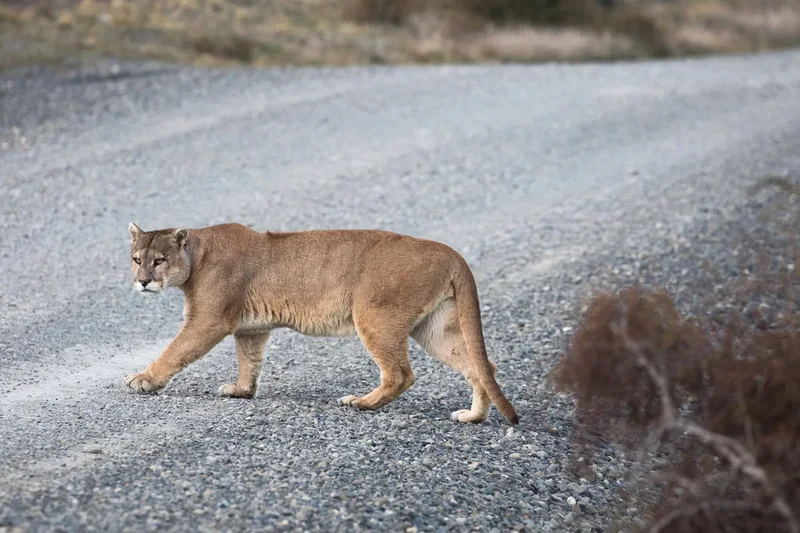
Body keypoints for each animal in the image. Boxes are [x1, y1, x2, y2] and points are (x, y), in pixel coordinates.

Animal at [124, 222, 519, 425]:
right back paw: (473, 416)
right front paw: (241, 391)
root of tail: (449, 252)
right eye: (136, 259)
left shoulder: (209, 319)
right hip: (434, 328)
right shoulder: (251, 327)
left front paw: (144, 379)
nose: (142, 282)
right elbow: (249, 361)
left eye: (159, 261)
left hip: (374, 315)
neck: (197, 254)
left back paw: (361, 402)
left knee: (401, 373)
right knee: (484, 366)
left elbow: (176, 350)